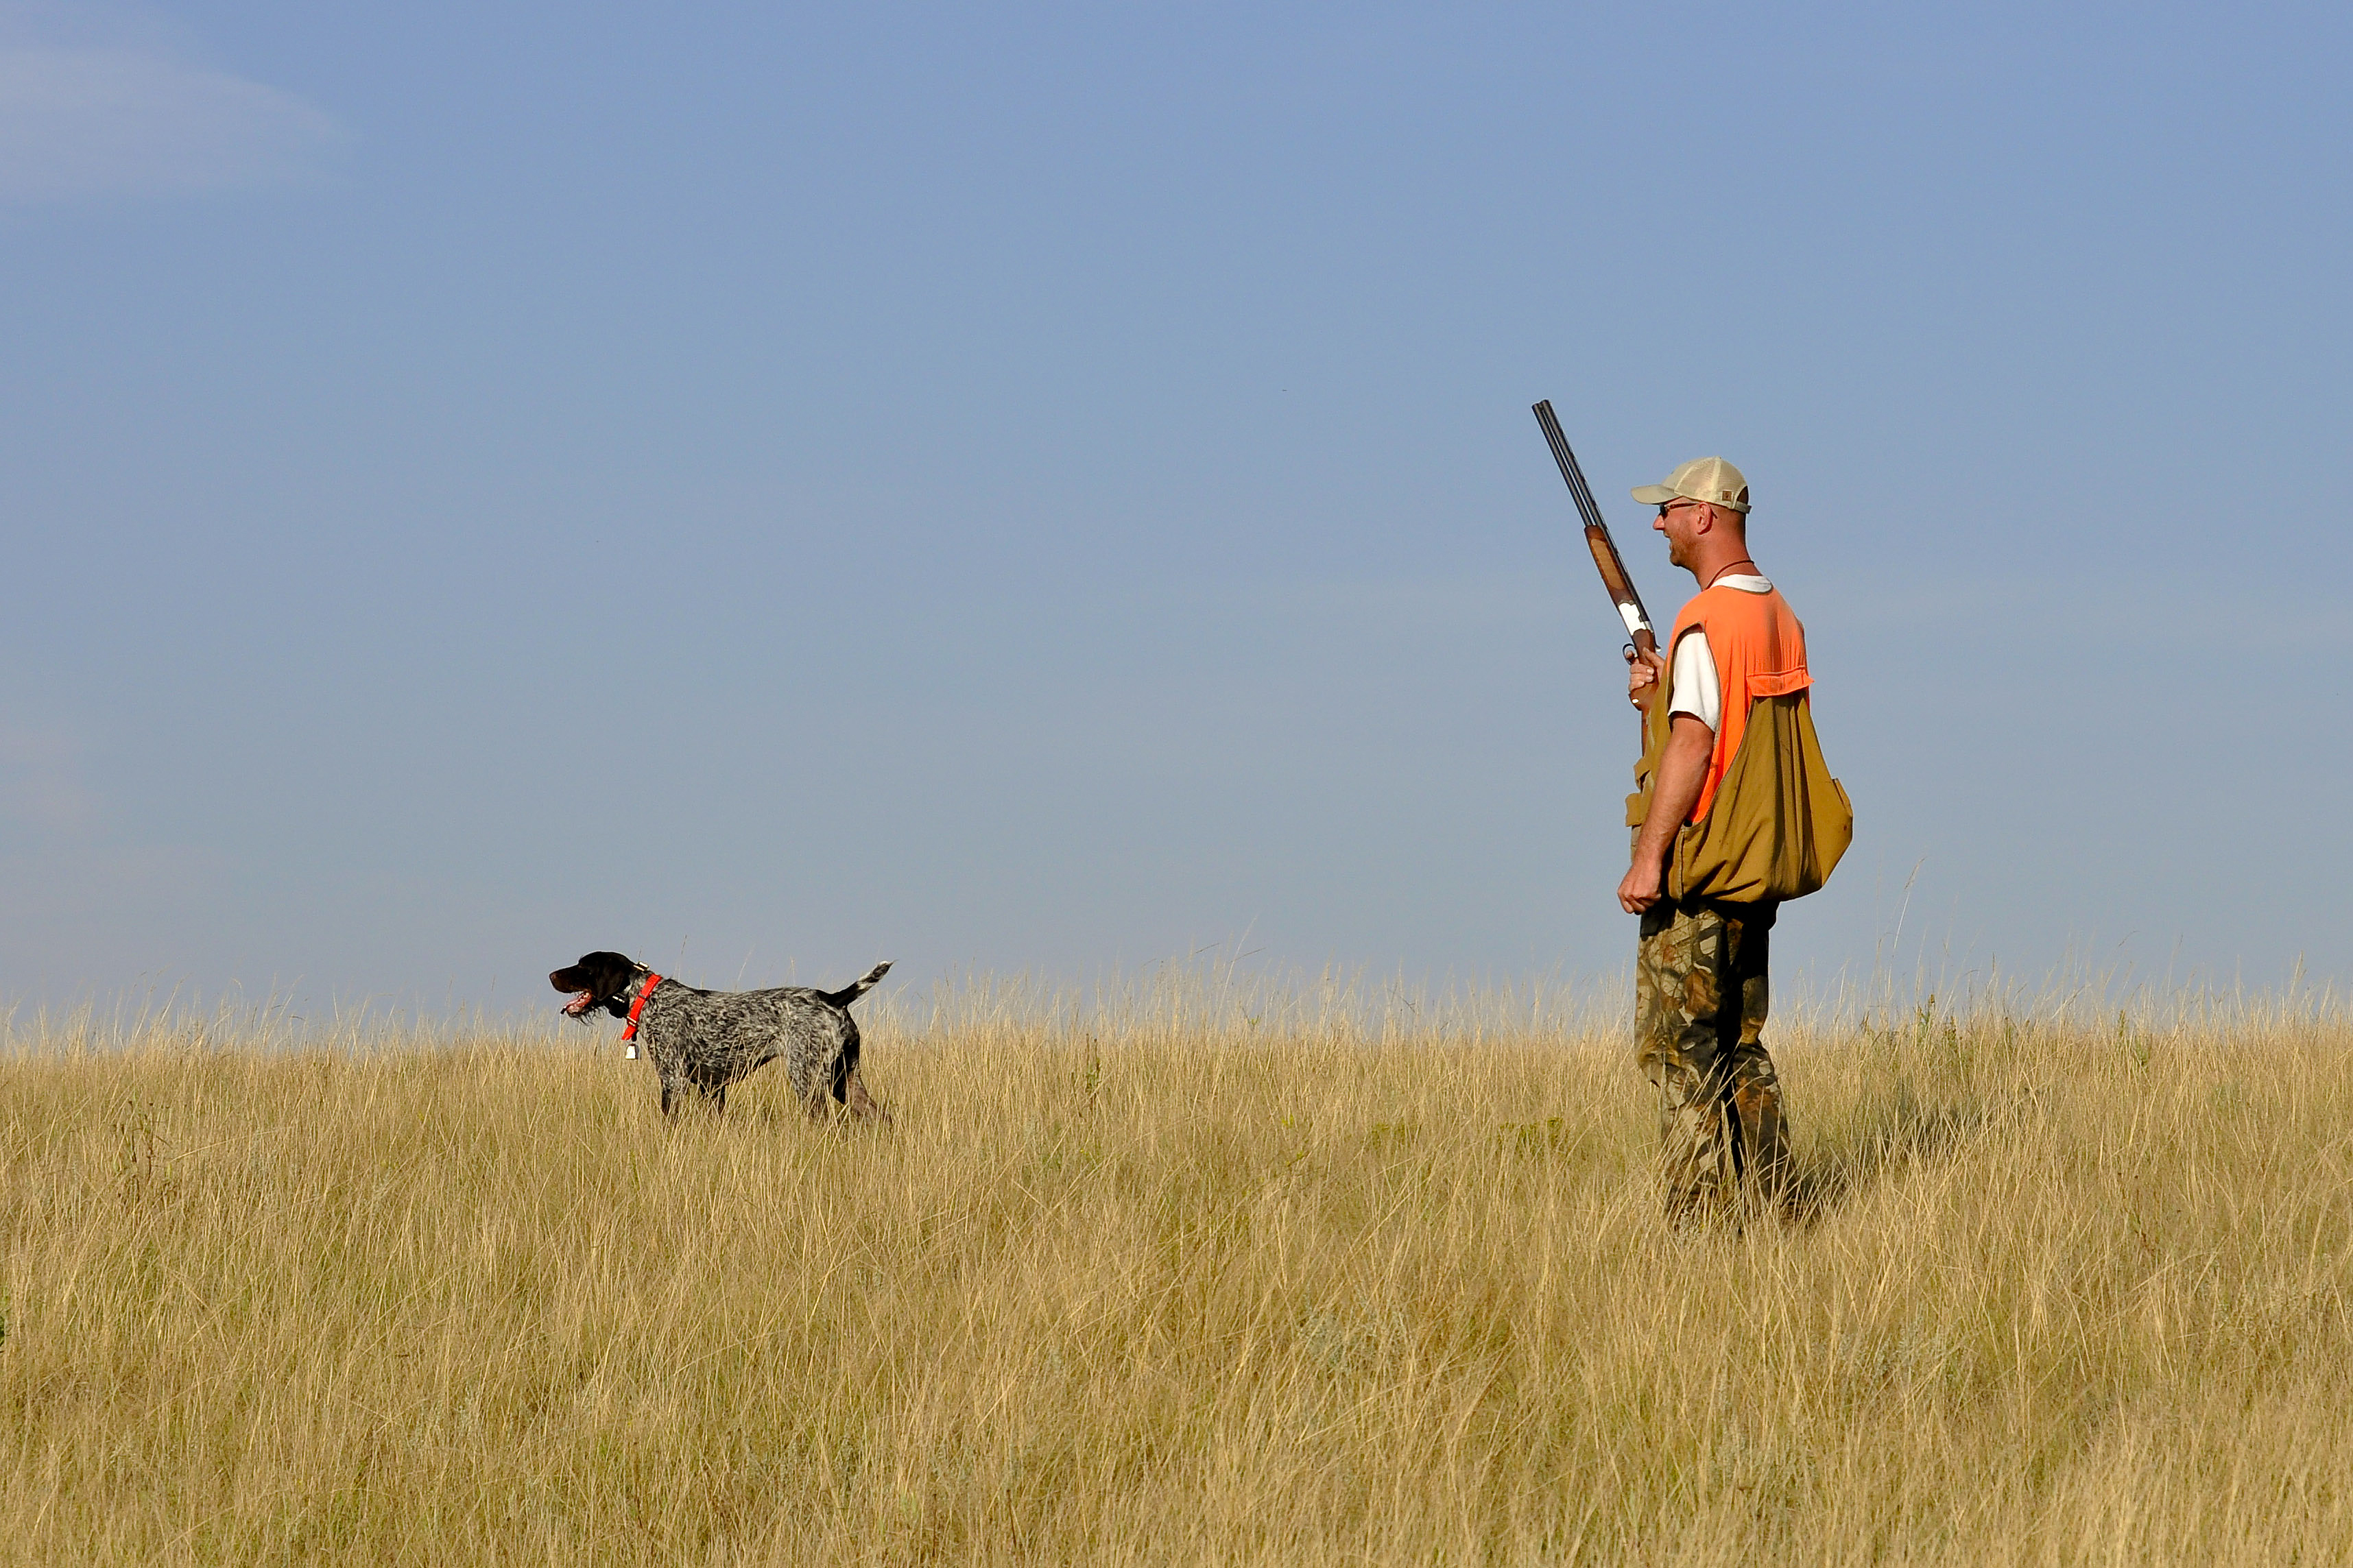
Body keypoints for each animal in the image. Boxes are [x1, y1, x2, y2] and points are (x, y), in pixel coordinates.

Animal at [545, 950, 894, 1123]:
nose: (550, 975)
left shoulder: (672, 1080)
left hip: (808, 1079)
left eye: (583, 966)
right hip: (846, 1080)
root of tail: (833, 998)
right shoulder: (712, 1089)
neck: (648, 997)